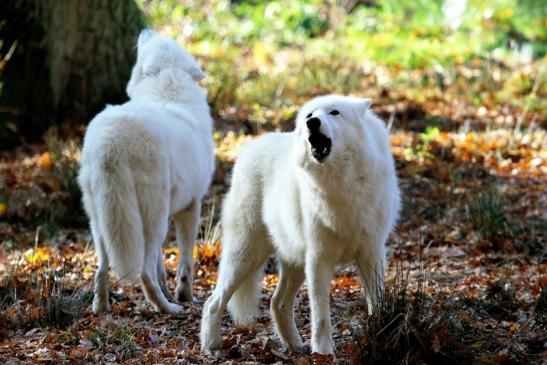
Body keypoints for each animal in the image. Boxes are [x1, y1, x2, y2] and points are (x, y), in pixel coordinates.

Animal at [78, 29, 215, 314]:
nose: (146, 30)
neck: (169, 88)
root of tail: (112, 141)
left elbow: (163, 265)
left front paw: (169, 289)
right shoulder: (192, 206)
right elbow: (186, 261)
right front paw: (185, 296)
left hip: (100, 222)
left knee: (102, 270)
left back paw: (101, 308)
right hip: (155, 219)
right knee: (144, 272)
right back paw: (168, 308)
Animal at [199, 93, 400, 352]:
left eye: (334, 112)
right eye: (310, 114)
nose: (312, 122)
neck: (340, 182)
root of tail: (250, 146)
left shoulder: (371, 253)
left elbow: (377, 302)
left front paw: (378, 335)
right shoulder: (318, 258)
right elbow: (321, 315)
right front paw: (323, 353)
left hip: (291, 261)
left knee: (277, 302)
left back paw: (295, 346)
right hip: (247, 255)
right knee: (214, 301)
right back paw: (210, 346)